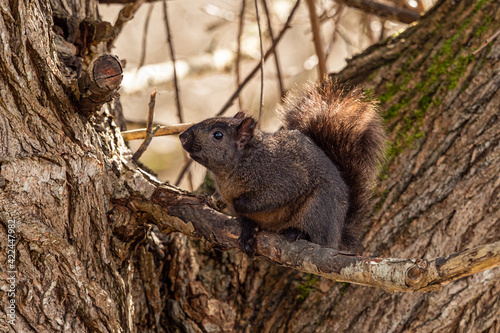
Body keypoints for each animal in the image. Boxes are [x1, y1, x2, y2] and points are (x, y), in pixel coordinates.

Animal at [180, 79, 386, 255]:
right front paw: (247, 230)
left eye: (218, 135)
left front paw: (239, 204)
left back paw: (299, 233)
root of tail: (338, 233)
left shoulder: (285, 176)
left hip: (319, 209)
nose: (183, 136)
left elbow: (276, 196)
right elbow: (244, 217)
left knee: (318, 237)